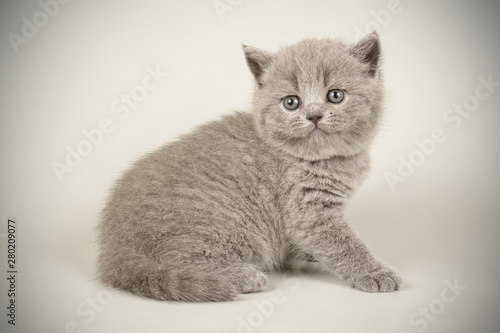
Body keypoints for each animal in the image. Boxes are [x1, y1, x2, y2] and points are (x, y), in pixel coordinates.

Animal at [97, 31, 402, 300]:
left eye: (335, 95)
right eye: (291, 102)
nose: (314, 115)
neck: (320, 158)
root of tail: (114, 250)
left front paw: (307, 254)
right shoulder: (307, 211)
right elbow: (342, 244)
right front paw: (374, 273)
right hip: (224, 222)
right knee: (176, 260)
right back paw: (243, 276)